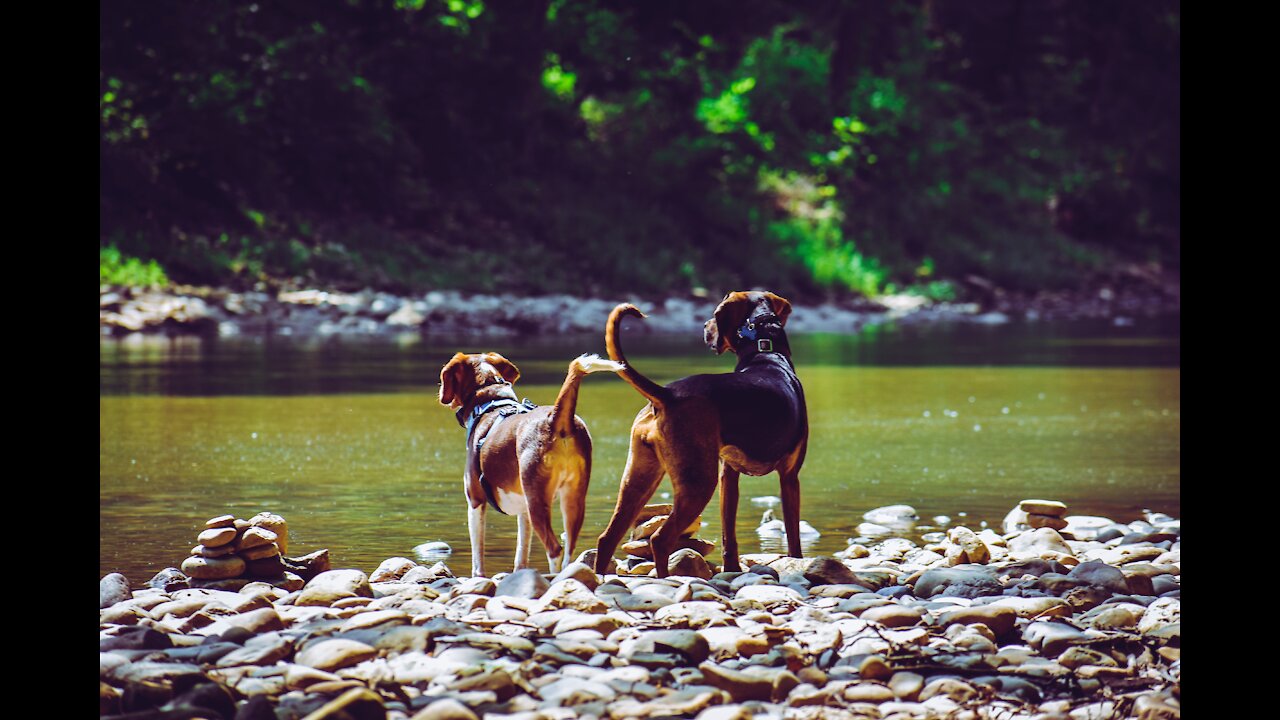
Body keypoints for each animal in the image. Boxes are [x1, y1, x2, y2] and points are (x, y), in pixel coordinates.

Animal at [437, 351, 622, 573]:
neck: (490, 402)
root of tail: (556, 418)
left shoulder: (475, 501)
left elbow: (478, 559)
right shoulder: (523, 510)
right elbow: (521, 553)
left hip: (537, 502)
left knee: (555, 550)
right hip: (573, 500)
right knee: (569, 549)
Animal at [591, 288, 808, 573]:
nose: (704, 327)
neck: (767, 353)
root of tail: (667, 394)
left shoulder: (729, 476)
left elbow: (729, 535)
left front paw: (732, 569)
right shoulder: (790, 477)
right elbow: (793, 535)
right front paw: (797, 562)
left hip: (638, 478)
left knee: (607, 538)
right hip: (698, 483)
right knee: (660, 539)